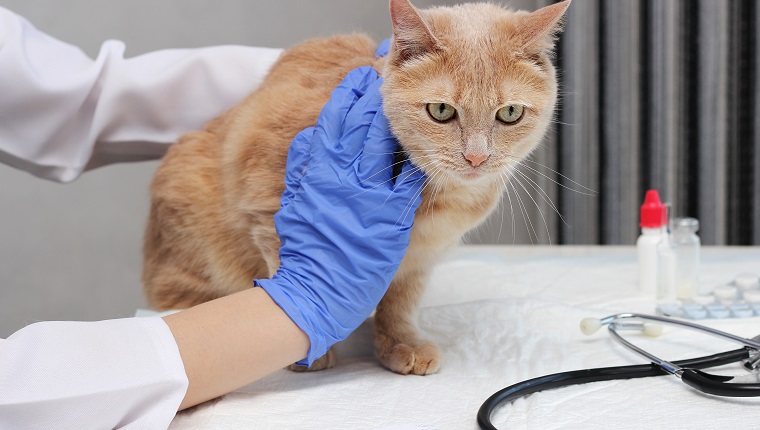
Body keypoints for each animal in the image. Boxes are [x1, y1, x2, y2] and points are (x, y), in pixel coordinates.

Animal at [144, 0, 568, 376]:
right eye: (441, 111)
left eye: (509, 113)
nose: (476, 158)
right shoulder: (265, 204)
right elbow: (290, 272)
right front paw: (313, 346)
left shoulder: (420, 259)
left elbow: (400, 302)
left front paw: (399, 343)